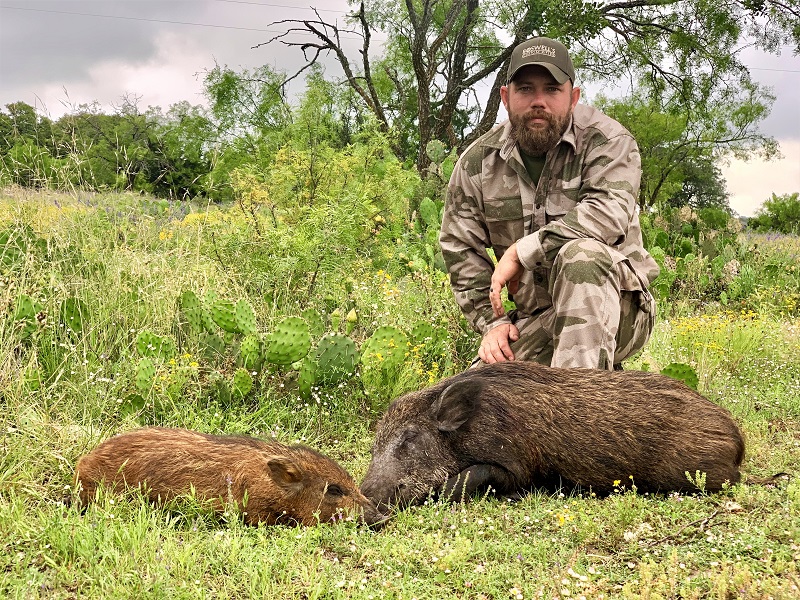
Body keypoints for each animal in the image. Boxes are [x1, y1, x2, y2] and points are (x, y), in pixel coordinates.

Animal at [360, 361, 745, 509]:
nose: (364, 497)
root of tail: (737, 438)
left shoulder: (516, 465)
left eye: (409, 437)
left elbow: (465, 479)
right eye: (376, 442)